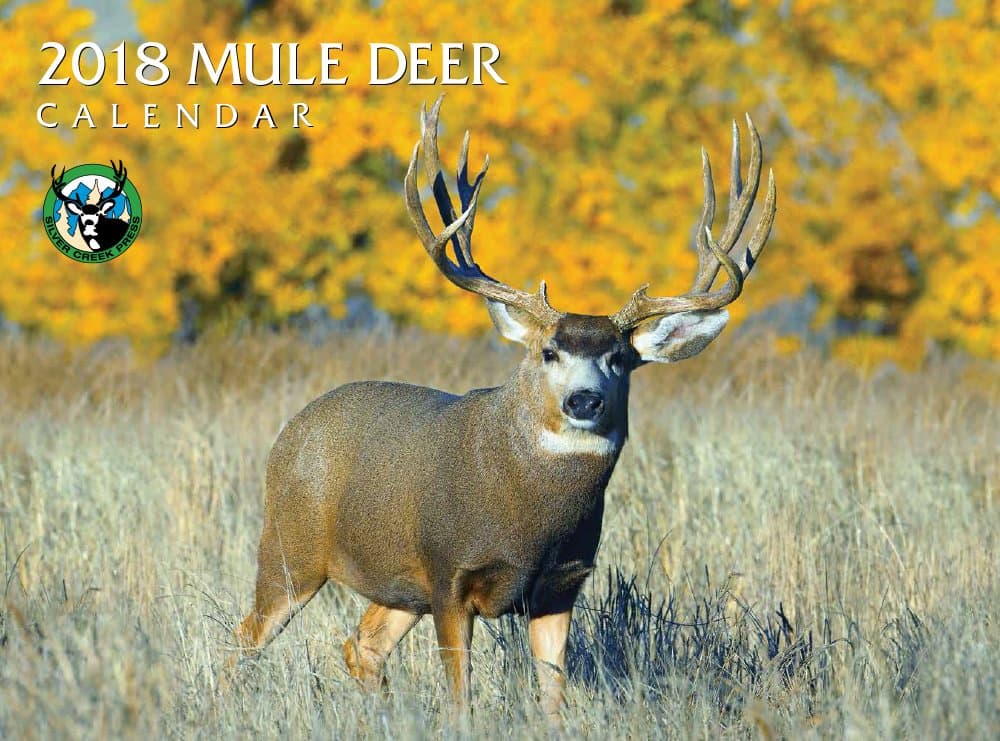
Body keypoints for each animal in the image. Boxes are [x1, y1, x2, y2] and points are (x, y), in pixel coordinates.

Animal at [232, 97, 775, 714]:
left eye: (619, 358)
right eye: (548, 351)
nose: (584, 399)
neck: (530, 519)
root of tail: (290, 431)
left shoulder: (561, 585)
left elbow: (553, 693)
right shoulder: (449, 573)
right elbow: (460, 694)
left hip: (397, 586)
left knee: (360, 646)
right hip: (290, 547)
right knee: (245, 636)